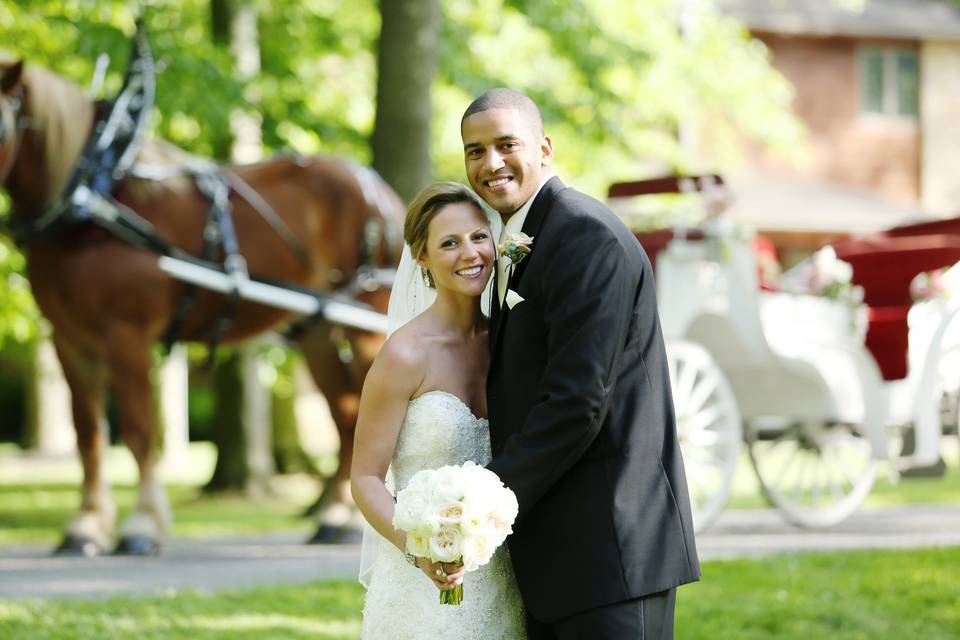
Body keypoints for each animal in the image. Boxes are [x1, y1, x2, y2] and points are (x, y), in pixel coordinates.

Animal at [0, 57, 404, 552]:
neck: (96, 191)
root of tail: (380, 190)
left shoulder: (127, 334)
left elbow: (138, 428)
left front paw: (142, 525)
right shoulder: (69, 339)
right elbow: (88, 434)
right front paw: (87, 525)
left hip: (366, 325)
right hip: (317, 331)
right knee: (349, 416)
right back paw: (335, 517)